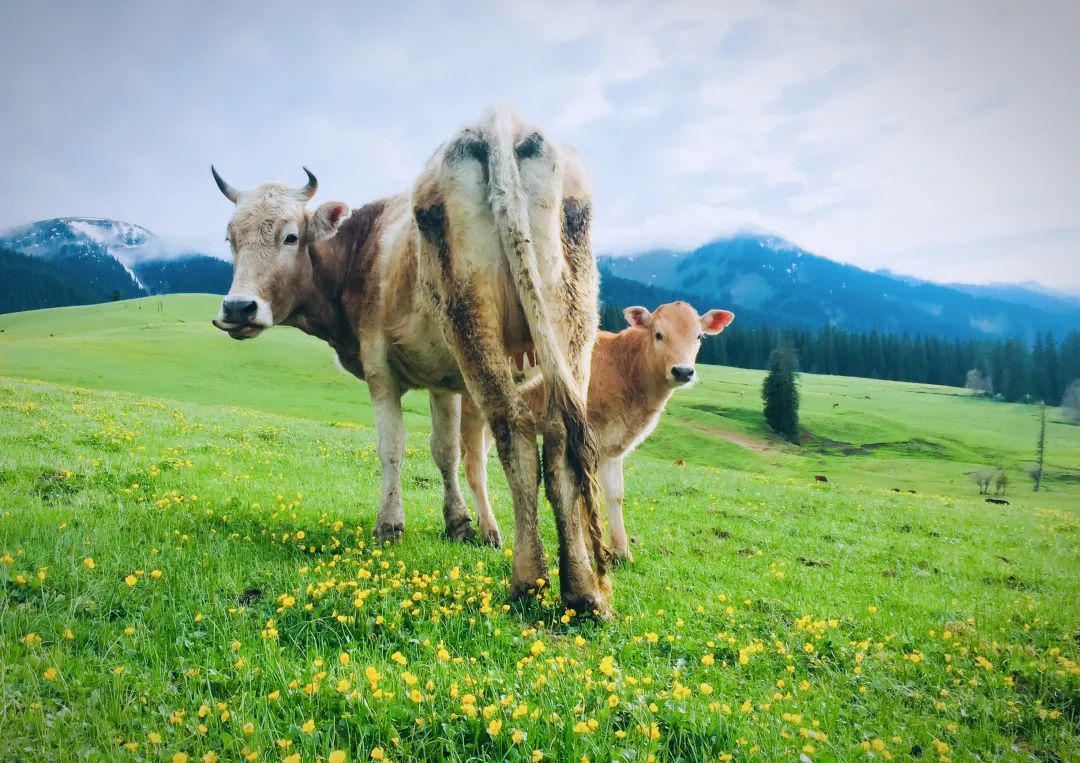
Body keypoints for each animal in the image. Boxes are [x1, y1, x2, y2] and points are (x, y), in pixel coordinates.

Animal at [210, 105, 613, 613]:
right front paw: (461, 524)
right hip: (571, 319)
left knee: (517, 429)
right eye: (230, 238)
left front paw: (390, 526)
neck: (362, 251)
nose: (237, 308)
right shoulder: (444, 381)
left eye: (290, 237)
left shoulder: (379, 367)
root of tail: (501, 121)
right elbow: (446, 451)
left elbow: (393, 446)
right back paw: (583, 591)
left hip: (471, 318)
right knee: (561, 437)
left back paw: (529, 580)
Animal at [460, 300, 730, 561]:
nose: (683, 371)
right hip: (472, 407)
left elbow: (615, 494)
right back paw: (490, 531)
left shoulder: (613, 445)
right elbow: (584, 492)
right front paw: (590, 549)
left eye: (699, 336)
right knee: (473, 466)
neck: (626, 369)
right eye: (659, 334)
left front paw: (622, 551)